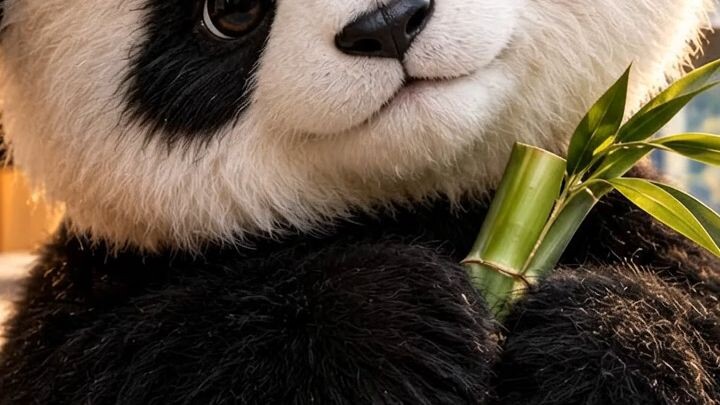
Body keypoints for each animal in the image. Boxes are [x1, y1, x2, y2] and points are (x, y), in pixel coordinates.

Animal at [0, 0, 718, 403]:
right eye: (229, 12)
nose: (389, 25)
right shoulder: (96, 285)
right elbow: (143, 363)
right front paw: (388, 319)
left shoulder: (639, 220)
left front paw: (601, 338)